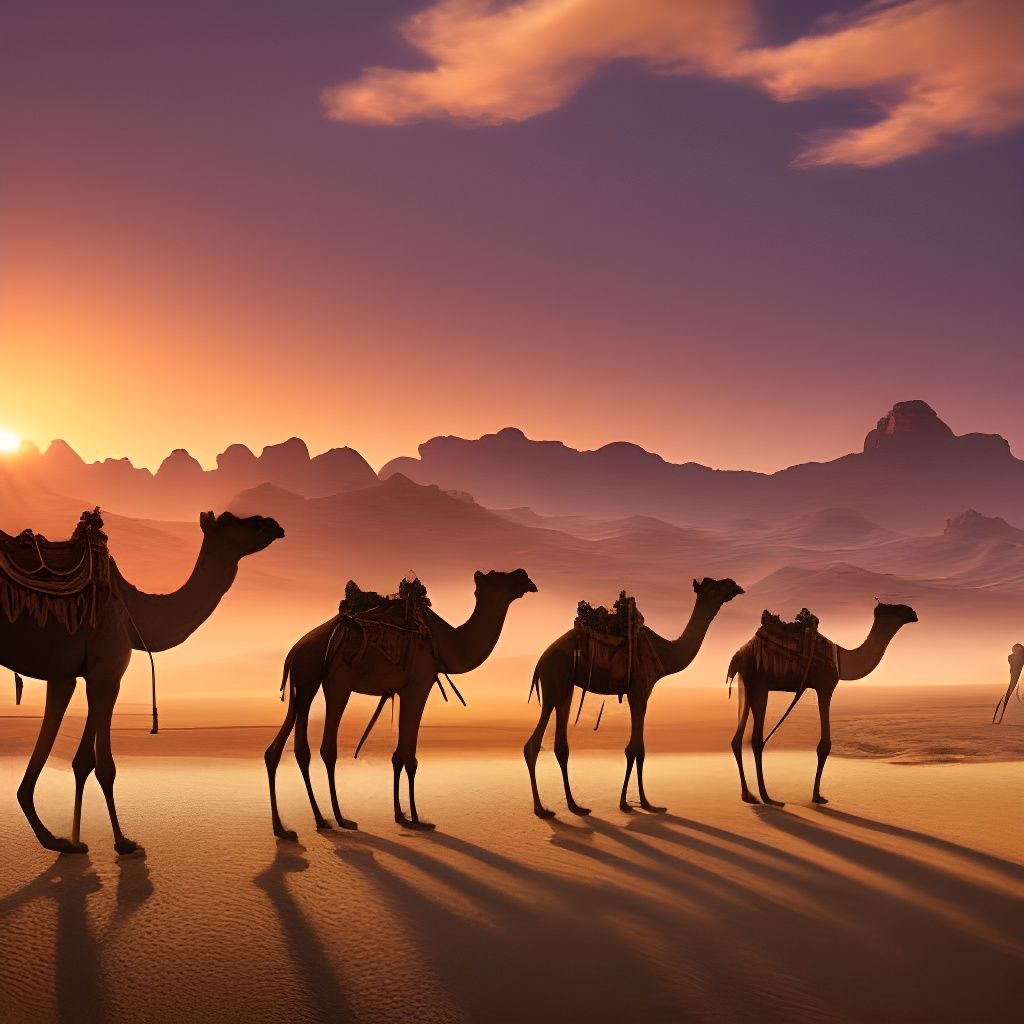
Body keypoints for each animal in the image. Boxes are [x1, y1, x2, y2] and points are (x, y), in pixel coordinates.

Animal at [1, 510, 284, 854]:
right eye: (237, 521)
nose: (273, 524)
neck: (131, 609)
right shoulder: (108, 670)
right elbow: (102, 765)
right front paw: (122, 842)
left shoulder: (70, 673)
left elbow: (76, 758)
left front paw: (64, 839)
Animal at [265, 568, 537, 838]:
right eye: (498, 575)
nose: (525, 577)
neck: (446, 643)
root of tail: (294, 651)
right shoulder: (418, 686)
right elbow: (409, 757)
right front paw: (417, 817)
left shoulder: (403, 689)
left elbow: (398, 755)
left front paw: (401, 814)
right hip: (336, 680)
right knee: (326, 748)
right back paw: (339, 818)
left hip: (305, 681)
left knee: (287, 748)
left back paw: (302, 824)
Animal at [524, 577, 744, 818]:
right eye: (713, 585)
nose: (734, 585)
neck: (664, 653)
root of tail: (540, 662)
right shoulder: (639, 692)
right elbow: (635, 749)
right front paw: (633, 803)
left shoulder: (638, 694)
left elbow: (638, 749)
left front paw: (640, 802)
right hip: (554, 679)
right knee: (533, 744)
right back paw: (541, 809)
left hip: (566, 686)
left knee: (560, 745)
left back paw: (575, 806)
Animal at [727, 602, 918, 807]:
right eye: (895, 608)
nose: (913, 613)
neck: (841, 658)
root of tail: (739, 654)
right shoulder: (825, 686)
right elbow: (824, 745)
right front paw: (817, 796)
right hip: (760, 682)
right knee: (756, 739)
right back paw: (767, 797)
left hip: (746, 683)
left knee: (737, 739)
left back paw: (749, 796)